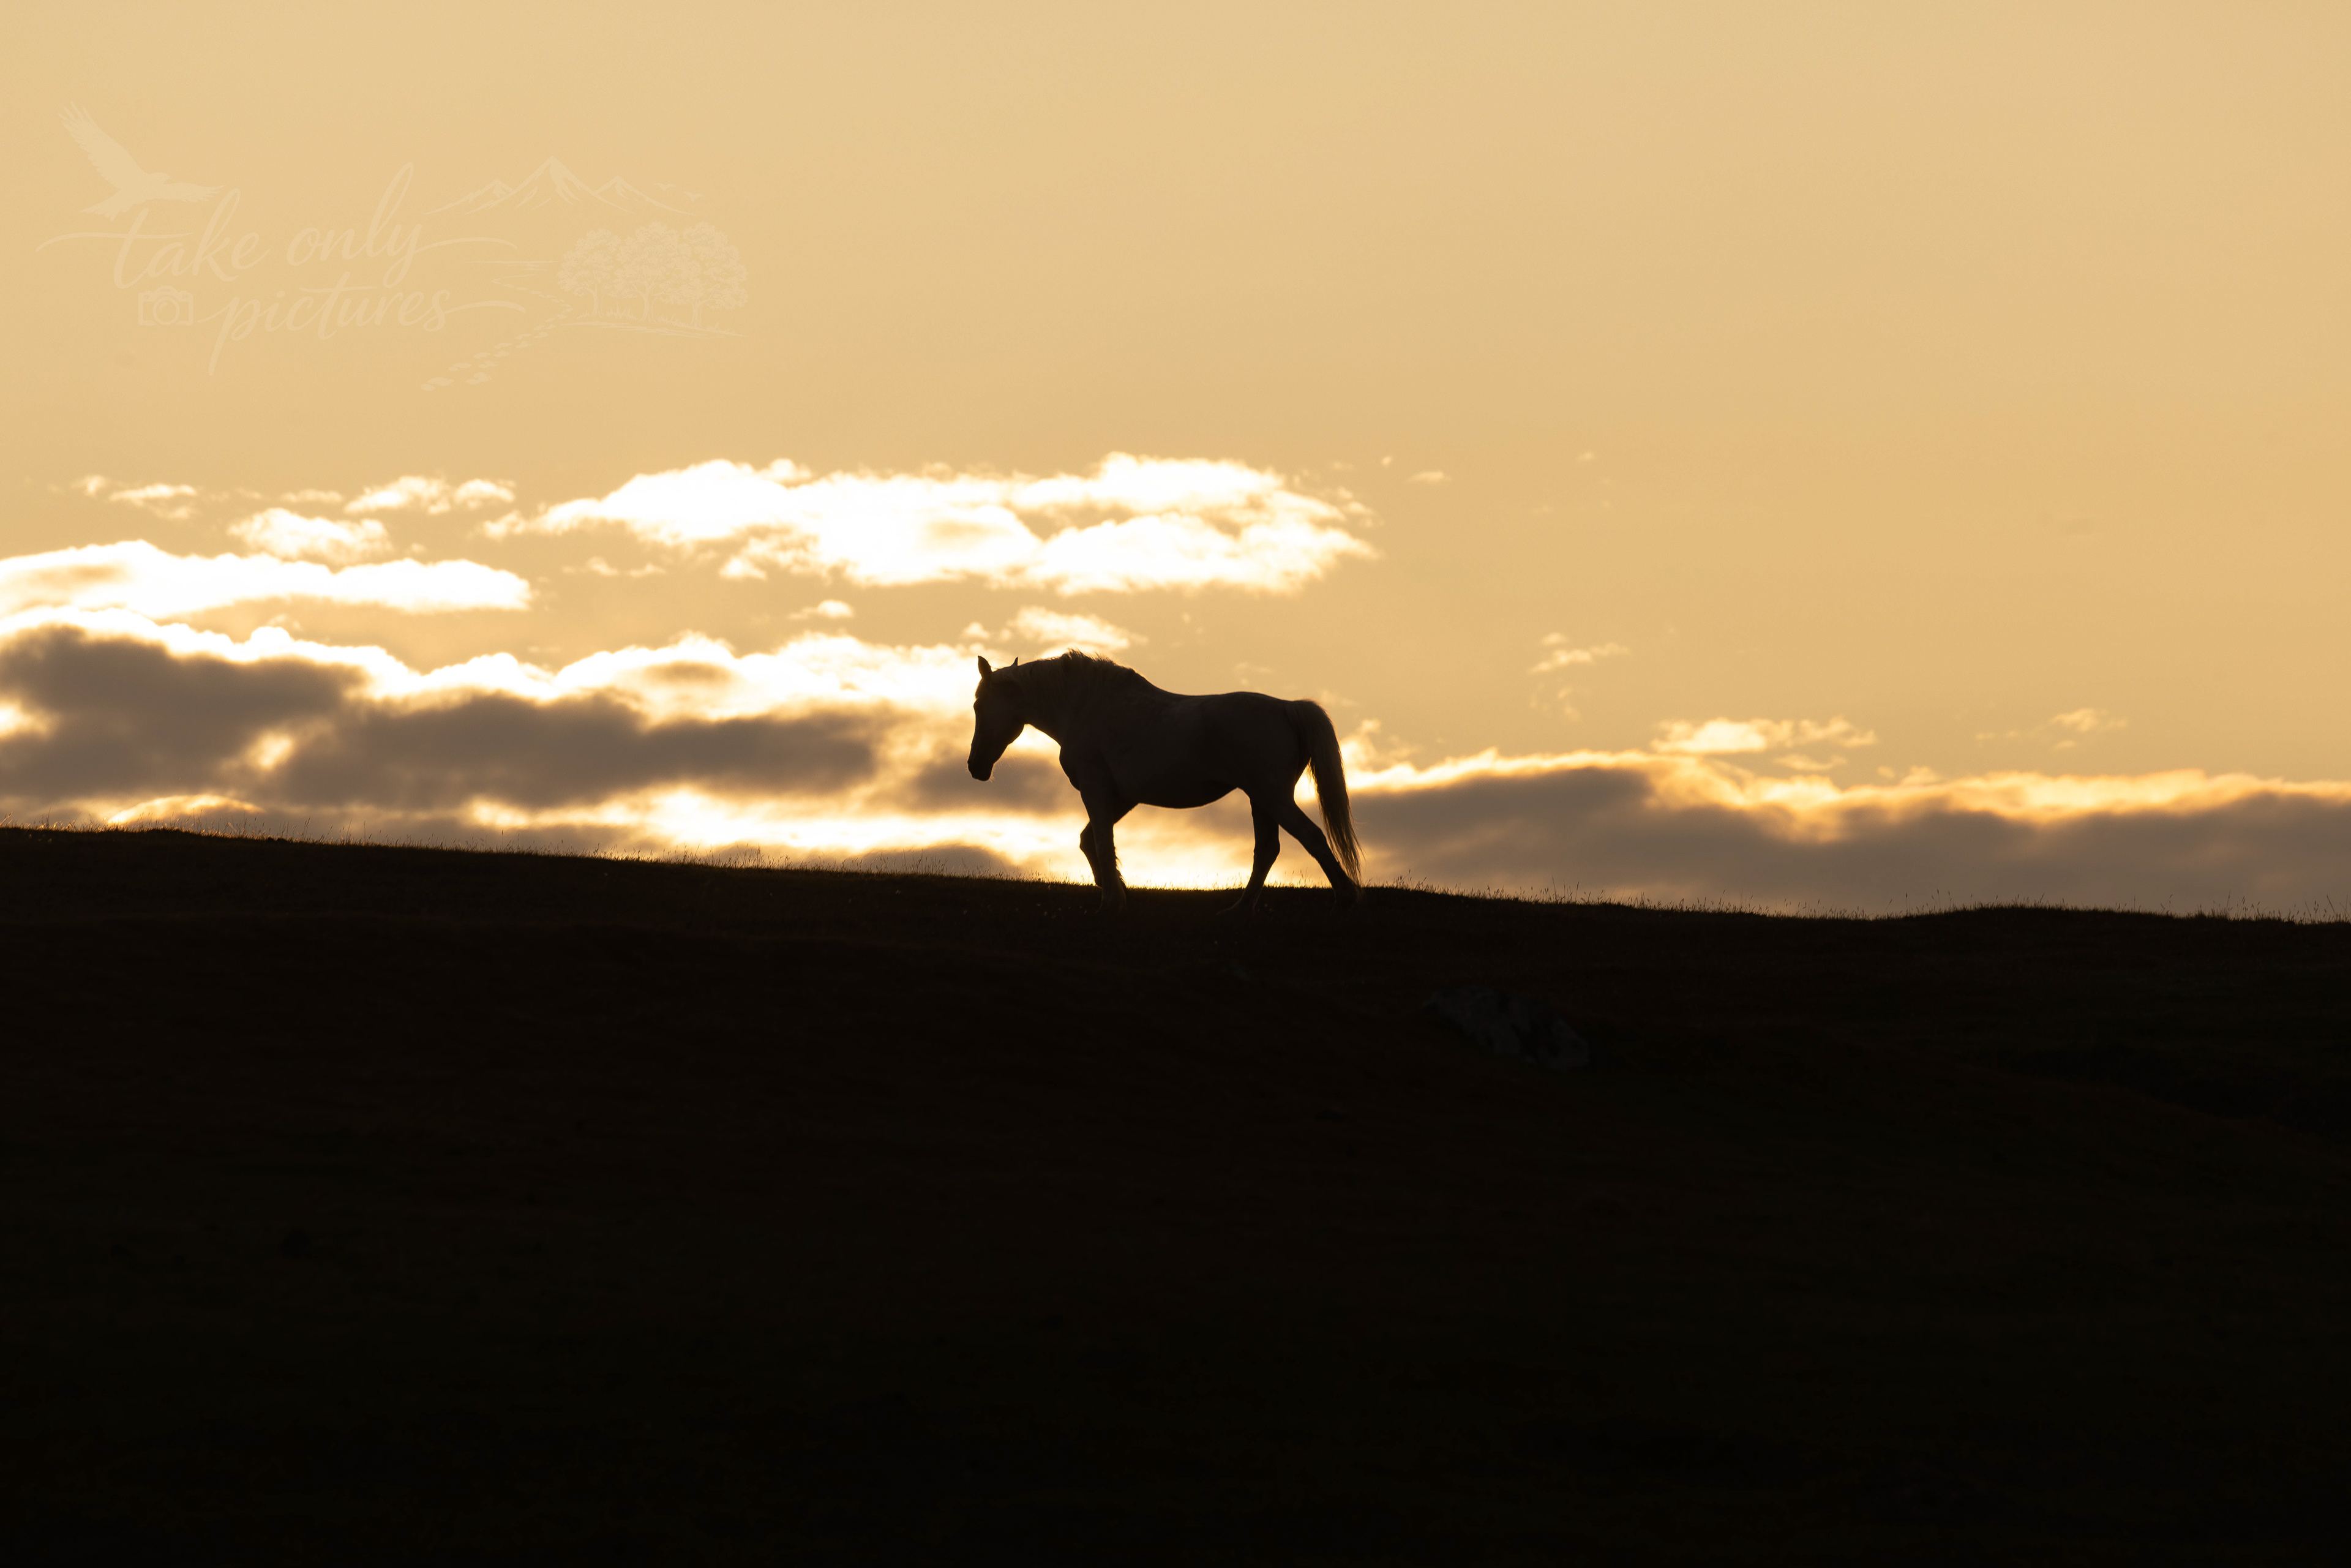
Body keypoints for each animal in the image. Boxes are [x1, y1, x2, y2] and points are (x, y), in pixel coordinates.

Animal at [966, 651, 1364, 914]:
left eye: (978, 706)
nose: (975, 766)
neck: (1084, 708)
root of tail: (1287, 707)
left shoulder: (1097, 790)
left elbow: (1101, 841)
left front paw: (1111, 899)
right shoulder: (1124, 796)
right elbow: (1090, 840)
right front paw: (1117, 889)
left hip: (1272, 797)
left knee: (1310, 837)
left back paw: (1345, 895)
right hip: (1261, 800)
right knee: (1267, 849)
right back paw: (1240, 908)